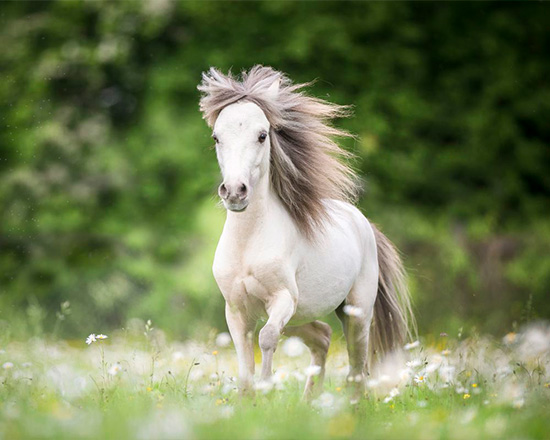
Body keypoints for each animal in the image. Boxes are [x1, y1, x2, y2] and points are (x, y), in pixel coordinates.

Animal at [197, 66, 414, 398]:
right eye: (216, 137)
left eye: (262, 135)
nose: (234, 192)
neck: (249, 243)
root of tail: (362, 222)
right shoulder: (236, 311)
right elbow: (244, 365)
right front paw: (248, 401)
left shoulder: (282, 300)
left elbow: (266, 338)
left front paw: (266, 390)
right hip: (301, 316)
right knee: (323, 337)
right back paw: (311, 400)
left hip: (354, 312)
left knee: (357, 366)